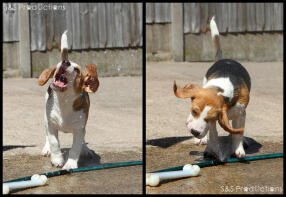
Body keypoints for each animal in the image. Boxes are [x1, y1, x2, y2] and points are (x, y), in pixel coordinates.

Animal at [37, 30, 99, 169]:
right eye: (62, 64)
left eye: (77, 70)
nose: (65, 62)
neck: (63, 100)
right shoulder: (51, 124)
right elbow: (54, 142)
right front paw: (57, 159)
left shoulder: (79, 128)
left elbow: (75, 148)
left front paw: (70, 163)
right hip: (45, 118)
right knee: (47, 135)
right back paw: (47, 148)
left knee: (82, 141)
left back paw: (85, 149)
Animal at [172, 16, 250, 162]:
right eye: (194, 111)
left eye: (209, 117)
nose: (194, 132)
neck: (221, 89)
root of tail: (224, 59)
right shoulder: (214, 121)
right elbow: (213, 133)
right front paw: (212, 150)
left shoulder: (239, 113)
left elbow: (237, 133)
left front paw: (238, 149)